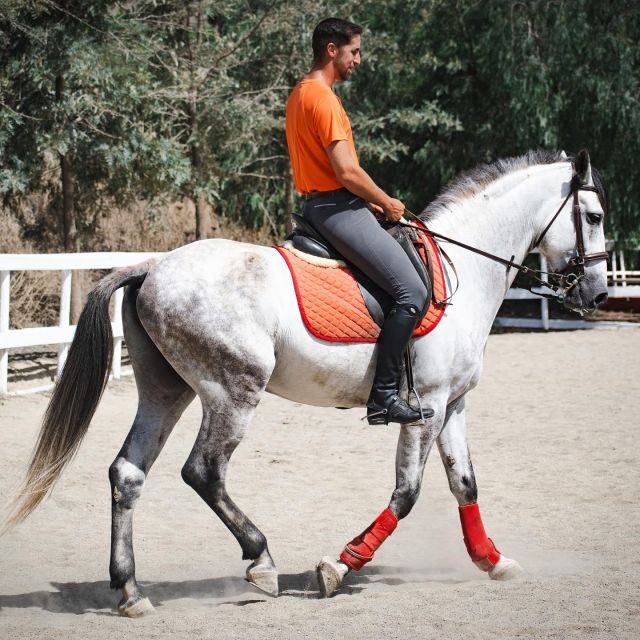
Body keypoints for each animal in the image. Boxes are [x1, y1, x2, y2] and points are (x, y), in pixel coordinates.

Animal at [7, 149, 609, 616]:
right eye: (596, 215)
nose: (599, 294)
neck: (463, 268)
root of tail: (151, 266)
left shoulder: (454, 405)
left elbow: (466, 485)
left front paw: (492, 560)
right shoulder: (428, 407)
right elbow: (407, 494)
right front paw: (339, 566)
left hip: (166, 391)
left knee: (128, 473)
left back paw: (131, 590)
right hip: (233, 393)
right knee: (204, 471)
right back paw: (261, 561)